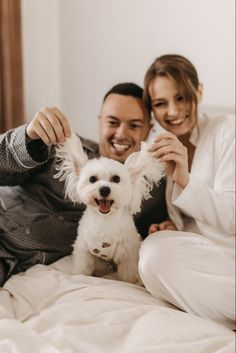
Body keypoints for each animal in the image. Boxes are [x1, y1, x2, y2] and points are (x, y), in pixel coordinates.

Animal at [54, 132, 164, 284]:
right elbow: (82, 269)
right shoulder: (83, 250)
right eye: (92, 179)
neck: (104, 220)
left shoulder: (128, 252)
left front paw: (132, 282)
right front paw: (79, 276)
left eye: (116, 179)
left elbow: (128, 275)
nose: (104, 189)